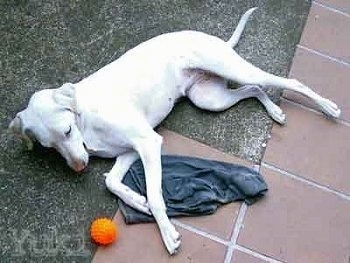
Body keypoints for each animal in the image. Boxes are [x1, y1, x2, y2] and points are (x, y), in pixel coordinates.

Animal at [8, 7, 342, 256]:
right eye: (49, 146)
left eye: (67, 131)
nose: (79, 167)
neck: (85, 115)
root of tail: (214, 39)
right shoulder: (130, 152)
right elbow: (112, 182)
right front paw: (136, 200)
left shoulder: (148, 143)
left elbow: (155, 195)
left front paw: (167, 232)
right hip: (209, 99)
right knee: (254, 89)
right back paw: (274, 111)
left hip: (233, 71)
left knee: (284, 82)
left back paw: (328, 107)